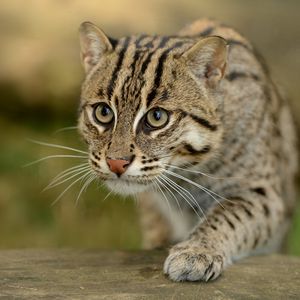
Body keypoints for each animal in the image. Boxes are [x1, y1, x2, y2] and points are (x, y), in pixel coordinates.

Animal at [77, 18, 298, 282]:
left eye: (157, 117)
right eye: (103, 112)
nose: (115, 163)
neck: (187, 173)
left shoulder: (266, 193)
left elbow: (229, 215)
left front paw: (196, 251)